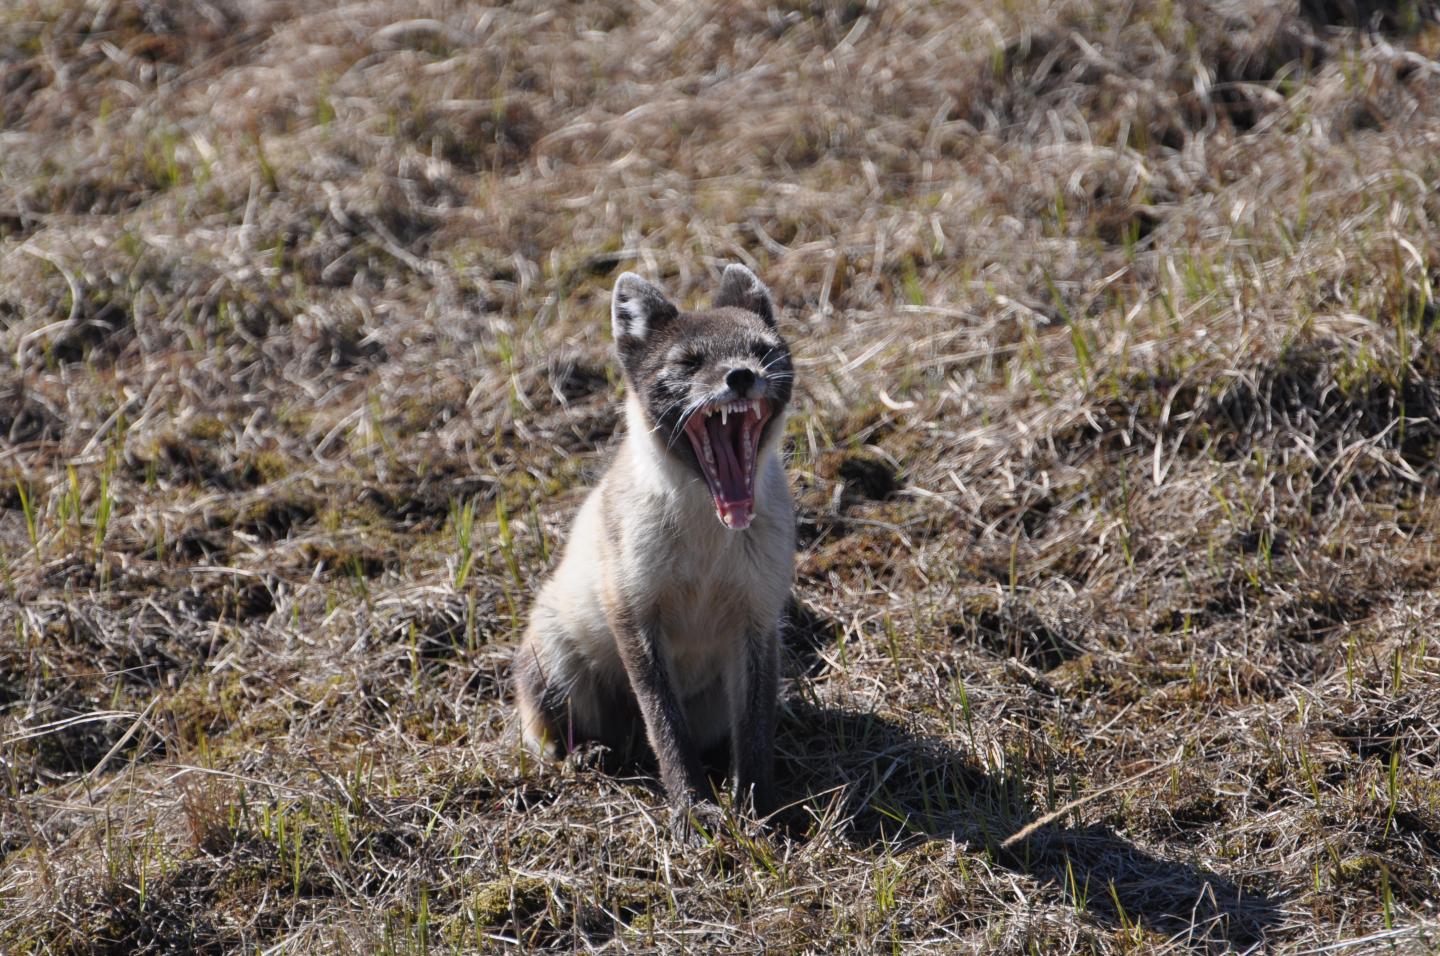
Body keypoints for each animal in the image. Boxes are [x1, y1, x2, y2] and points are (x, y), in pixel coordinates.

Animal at [512, 264, 795, 820]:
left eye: (763, 350)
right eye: (689, 362)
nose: (740, 375)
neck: (708, 545)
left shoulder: (758, 617)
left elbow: (753, 731)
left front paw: (757, 810)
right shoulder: (634, 614)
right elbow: (666, 727)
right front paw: (693, 811)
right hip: (553, 665)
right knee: (554, 736)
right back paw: (588, 755)